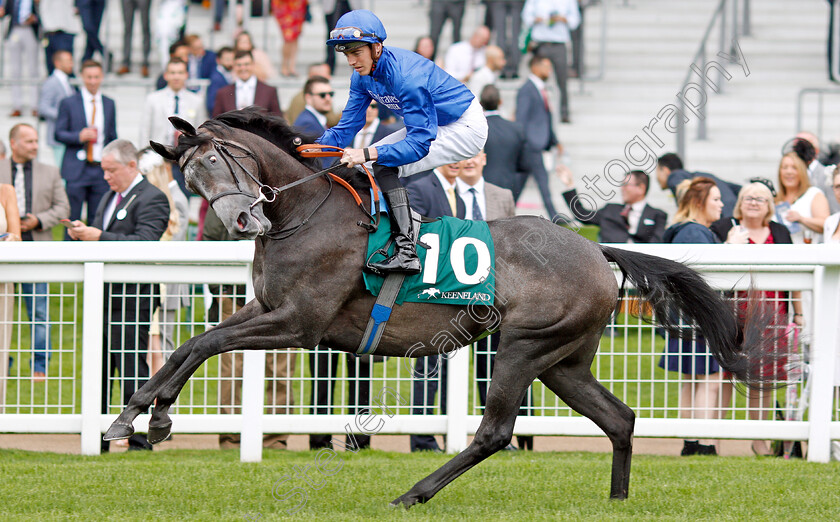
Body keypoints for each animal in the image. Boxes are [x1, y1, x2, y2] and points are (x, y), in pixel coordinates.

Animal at [106, 108, 780, 504]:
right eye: (190, 180)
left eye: (216, 160)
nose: (243, 221)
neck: (303, 215)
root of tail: (596, 249)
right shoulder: (267, 312)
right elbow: (192, 345)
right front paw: (137, 416)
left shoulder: (297, 324)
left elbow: (204, 342)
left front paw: (146, 417)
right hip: (564, 360)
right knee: (619, 418)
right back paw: (616, 500)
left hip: (524, 346)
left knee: (496, 431)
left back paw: (414, 492)